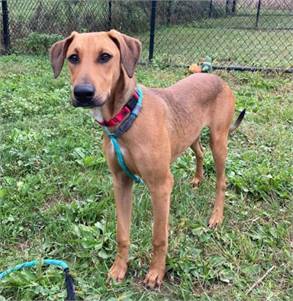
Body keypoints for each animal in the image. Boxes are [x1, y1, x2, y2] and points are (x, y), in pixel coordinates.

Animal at [50, 29, 244, 288]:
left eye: (105, 56)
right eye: (73, 57)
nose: (83, 93)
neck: (124, 116)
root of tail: (217, 78)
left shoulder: (160, 186)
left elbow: (159, 237)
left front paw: (155, 273)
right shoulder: (121, 182)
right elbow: (122, 233)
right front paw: (119, 268)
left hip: (219, 141)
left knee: (221, 181)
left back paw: (216, 216)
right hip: (191, 135)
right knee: (200, 153)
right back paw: (197, 179)